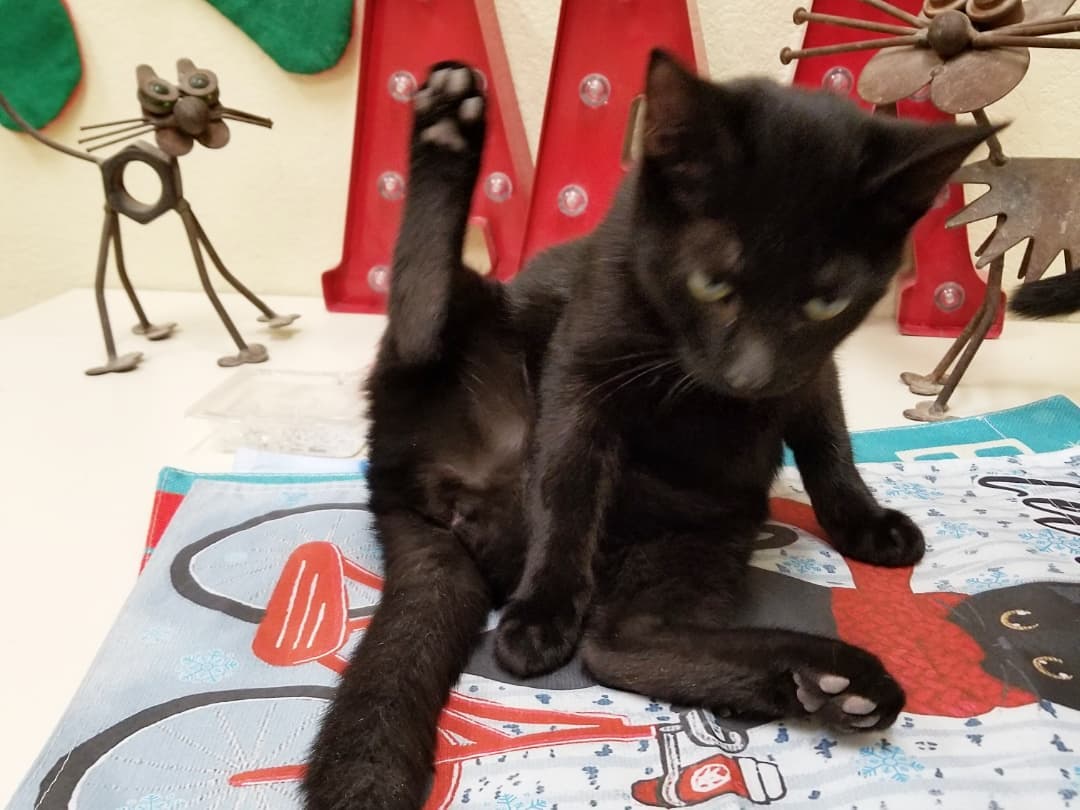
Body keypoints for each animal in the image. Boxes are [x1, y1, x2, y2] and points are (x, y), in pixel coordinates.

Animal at [300, 52, 989, 810]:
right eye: (711, 285)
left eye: (825, 302)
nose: (749, 375)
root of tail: (403, 494)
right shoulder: (584, 364)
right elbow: (567, 482)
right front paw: (543, 611)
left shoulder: (810, 369)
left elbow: (830, 446)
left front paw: (864, 525)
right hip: (467, 329)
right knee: (420, 325)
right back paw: (447, 126)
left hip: (694, 546)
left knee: (622, 643)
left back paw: (833, 682)